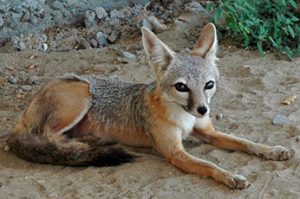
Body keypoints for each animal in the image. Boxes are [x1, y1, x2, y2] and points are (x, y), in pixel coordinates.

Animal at [5, 22, 292, 188]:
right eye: (181, 87)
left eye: (209, 85)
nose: (203, 110)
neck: (184, 117)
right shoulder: (174, 153)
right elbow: (209, 165)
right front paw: (230, 176)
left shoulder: (208, 132)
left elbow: (245, 141)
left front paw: (272, 150)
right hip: (82, 94)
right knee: (46, 138)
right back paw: (86, 144)